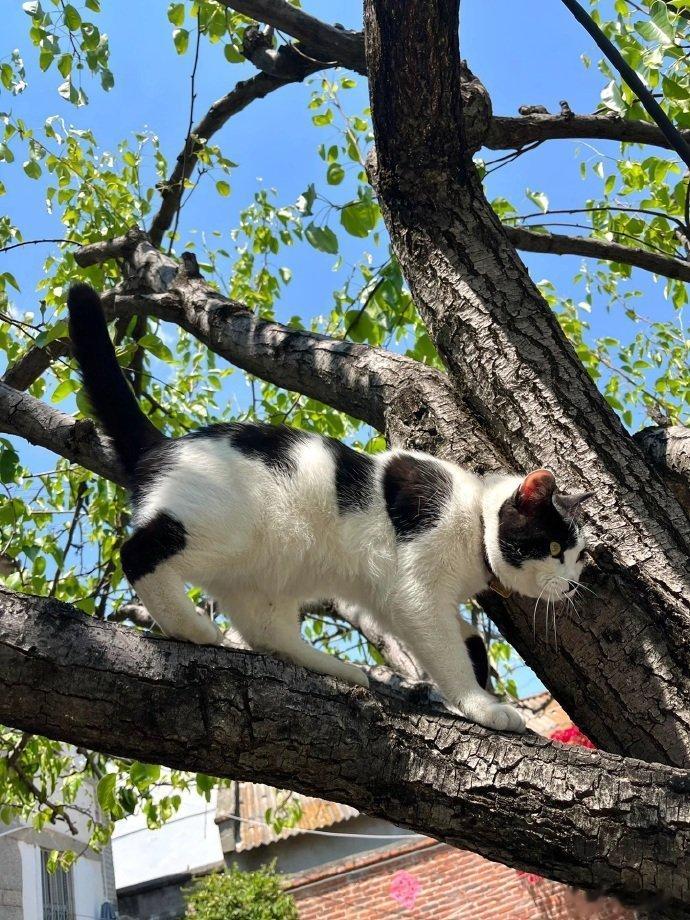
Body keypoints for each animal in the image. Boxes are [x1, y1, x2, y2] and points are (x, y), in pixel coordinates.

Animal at [67, 284, 588, 728]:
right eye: (553, 547)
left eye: (580, 560)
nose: (569, 586)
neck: (472, 517)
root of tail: (166, 445)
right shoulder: (417, 591)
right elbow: (448, 653)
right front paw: (482, 706)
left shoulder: (397, 601)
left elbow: (469, 640)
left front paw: (474, 692)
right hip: (226, 529)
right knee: (138, 552)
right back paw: (192, 627)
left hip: (269, 571)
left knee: (265, 632)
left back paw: (336, 669)